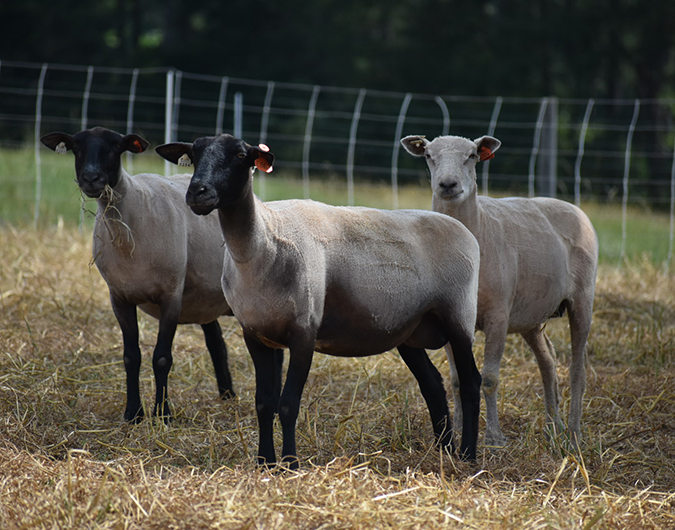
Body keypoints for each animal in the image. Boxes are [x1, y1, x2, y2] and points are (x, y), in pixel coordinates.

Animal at [40, 127, 238, 420]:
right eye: (75, 146)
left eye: (116, 146)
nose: (91, 178)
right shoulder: (120, 297)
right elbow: (131, 356)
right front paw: (133, 413)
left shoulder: (171, 295)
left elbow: (162, 358)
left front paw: (163, 413)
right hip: (204, 298)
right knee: (217, 344)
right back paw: (227, 396)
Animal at [157, 133, 486, 466]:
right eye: (194, 155)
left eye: (239, 155)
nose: (197, 192)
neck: (262, 245)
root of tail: (464, 231)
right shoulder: (255, 333)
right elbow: (264, 403)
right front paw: (265, 462)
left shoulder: (304, 331)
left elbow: (288, 404)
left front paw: (289, 463)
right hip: (409, 329)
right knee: (433, 384)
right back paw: (443, 450)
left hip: (459, 317)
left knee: (470, 383)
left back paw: (468, 456)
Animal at [398, 133, 600, 446]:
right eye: (429, 155)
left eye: (471, 155)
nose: (447, 184)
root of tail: (572, 207)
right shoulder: (450, 318)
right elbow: (457, 379)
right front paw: (459, 428)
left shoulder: (498, 315)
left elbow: (490, 378)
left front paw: (494, 437)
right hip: (532, 314)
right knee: (548, 361)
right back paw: (552, 426)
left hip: (582, 297)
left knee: (578, 366)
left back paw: (574, 431)